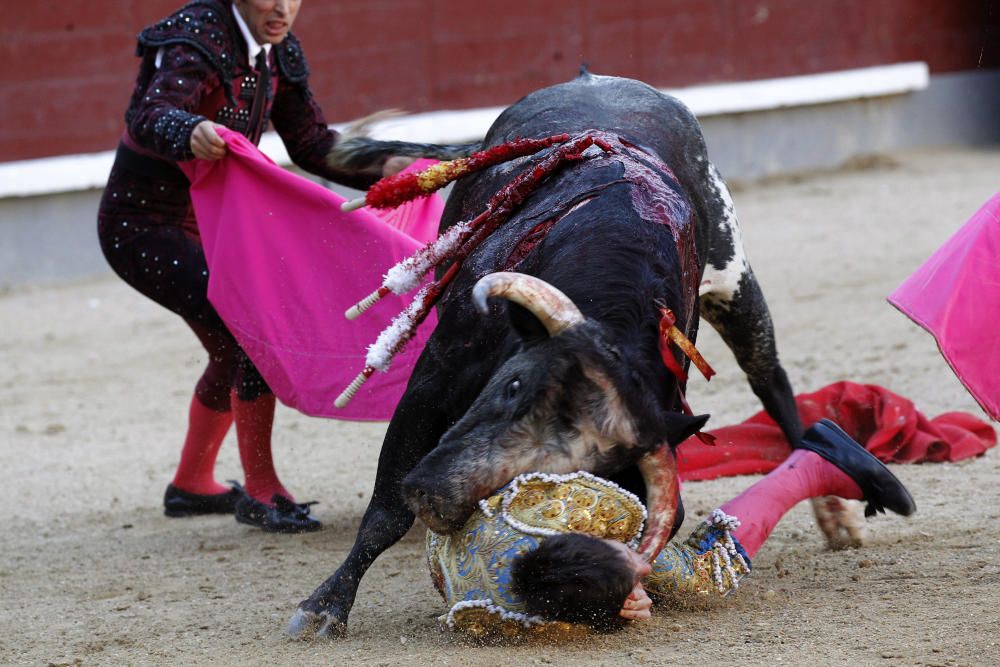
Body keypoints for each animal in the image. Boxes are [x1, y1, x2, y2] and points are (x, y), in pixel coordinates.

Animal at [292, 70, 812, 640]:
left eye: (578, 468)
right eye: (515, 385)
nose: (435, 497)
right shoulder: (432, 382)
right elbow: (386, 510)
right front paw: (324, 607)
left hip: (734, 284)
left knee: (770, 378)